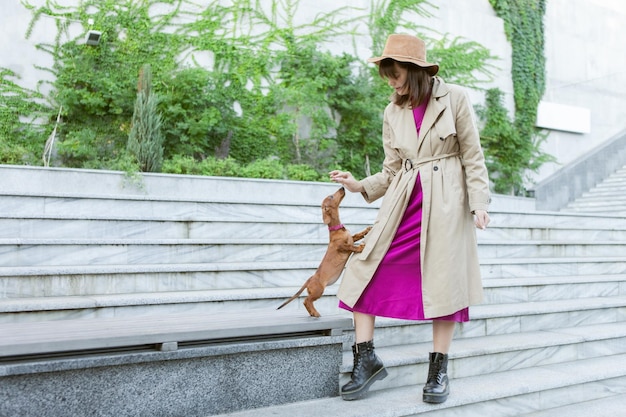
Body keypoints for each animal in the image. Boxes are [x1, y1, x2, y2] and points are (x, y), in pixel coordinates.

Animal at [278, 187, 370, 316]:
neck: (337, 229)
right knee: (306, 301)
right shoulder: (341, 247)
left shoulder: (351, 238)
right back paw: (315, 313)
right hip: (319, 290)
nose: (342, 187)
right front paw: (360, 247)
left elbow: (356, 236)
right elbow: (351, 247)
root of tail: (310, 279)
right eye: (331, 196)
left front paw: (366, 230)